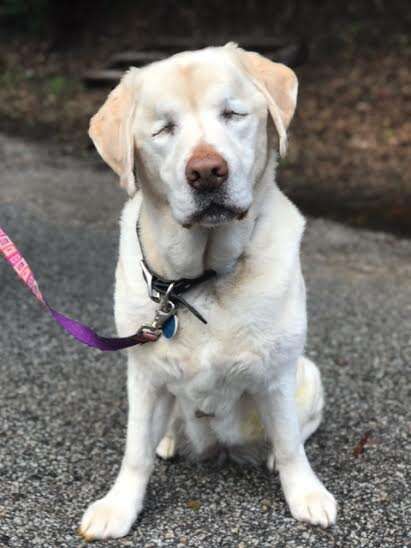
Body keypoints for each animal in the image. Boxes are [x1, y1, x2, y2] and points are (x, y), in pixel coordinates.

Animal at [79, 45, 338, 540]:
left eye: (232, 113)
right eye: (163, 128)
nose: (206, 172)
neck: (199, 280)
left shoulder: (277, 372)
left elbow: (291, 442)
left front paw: (306, 494)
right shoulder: (144, 372)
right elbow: (134, 451)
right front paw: (119, 507)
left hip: (309, 373)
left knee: (298, 429)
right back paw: (166, 440)